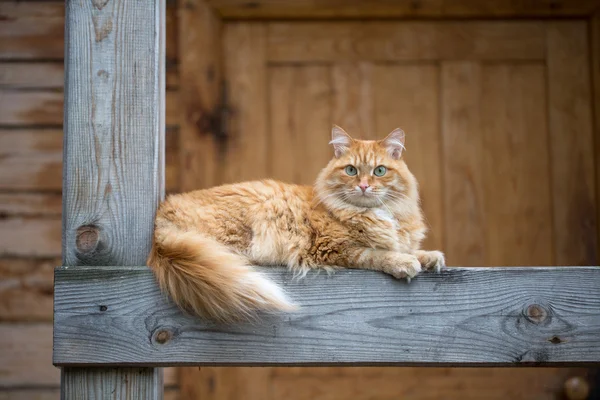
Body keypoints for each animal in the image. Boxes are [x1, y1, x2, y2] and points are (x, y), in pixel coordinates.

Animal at [147, 126, 442, 324]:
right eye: (351, 170)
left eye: (379, 171)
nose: (364, 186)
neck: (373, 213)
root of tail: (161, 216)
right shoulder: (335, 248)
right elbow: (378, 254)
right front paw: (403, 264)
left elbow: (408, 248)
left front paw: (430, 257)